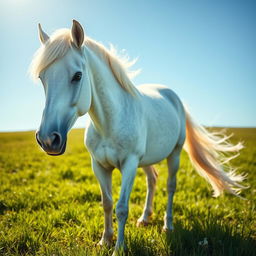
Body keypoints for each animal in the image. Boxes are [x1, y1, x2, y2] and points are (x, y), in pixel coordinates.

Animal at [30, 20, 246, 254]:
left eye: (77, 76)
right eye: (42, 78)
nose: (48, 139)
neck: (109, 122)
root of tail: (172, 95)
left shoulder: (130, 164)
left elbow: (121, 208)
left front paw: (118, 248)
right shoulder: (99, 166)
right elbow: (107, 203)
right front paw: (105, 240)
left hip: (174, 154)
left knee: (170, 186)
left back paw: (168, 225)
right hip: (147, 159)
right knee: (152, 180)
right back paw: (144, 218)